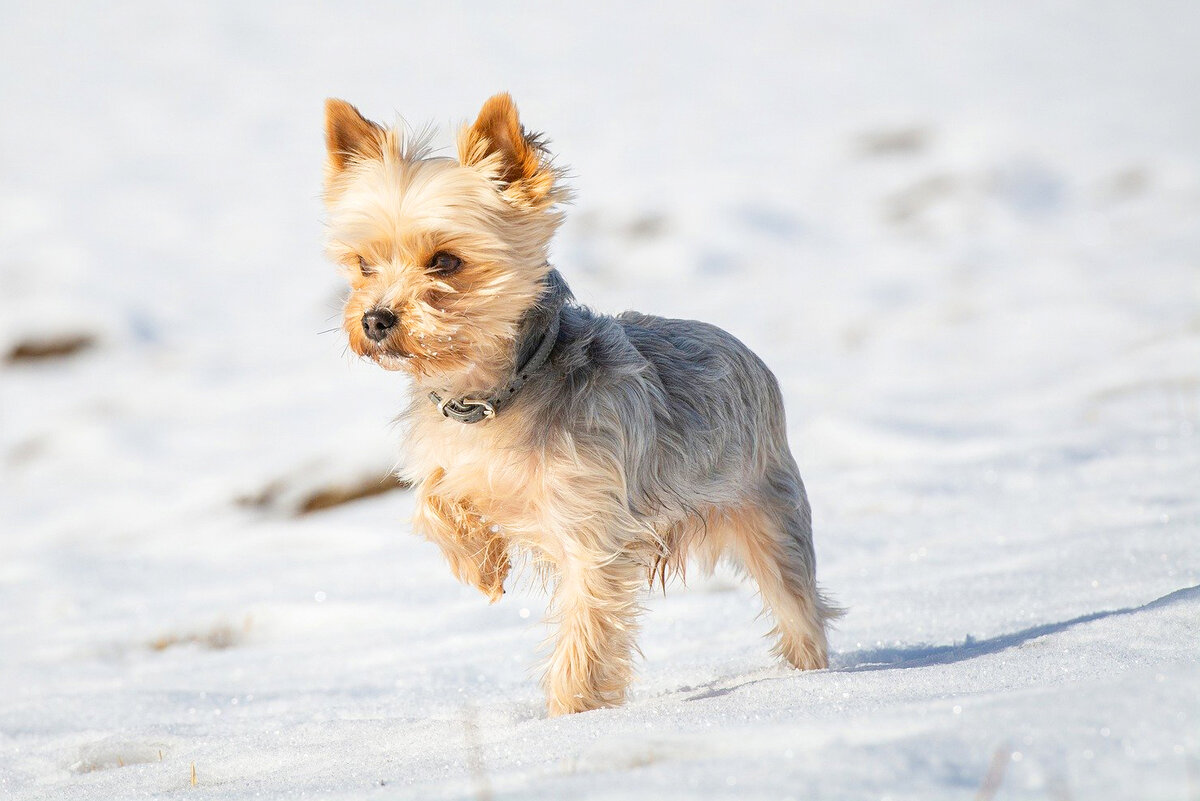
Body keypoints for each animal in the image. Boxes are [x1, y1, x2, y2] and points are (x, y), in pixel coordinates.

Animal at [324, 94, 840, 714]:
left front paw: (573, 715)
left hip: (770, 515)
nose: (375, 319)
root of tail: (749, 354)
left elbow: (586, 633)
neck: (495, 396)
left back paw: (810, 679)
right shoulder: (455, 462)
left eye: (445, 261)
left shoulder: (594, 532)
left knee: (798, 605)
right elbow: (434, 498)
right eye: (363, 264)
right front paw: (482, 565)